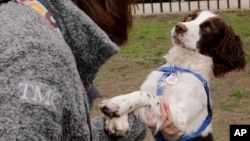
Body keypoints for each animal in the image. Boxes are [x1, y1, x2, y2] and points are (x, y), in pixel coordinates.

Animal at [98, 10, 245, 140]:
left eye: (209, 27)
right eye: (190, 16)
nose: (179, 27)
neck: (179, 68)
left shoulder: (178, 121)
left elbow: (147, 96)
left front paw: (115, 104)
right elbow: (139, 94)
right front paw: (117, 121)